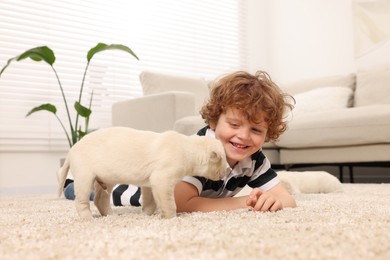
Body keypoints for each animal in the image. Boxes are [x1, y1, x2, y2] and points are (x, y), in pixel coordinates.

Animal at [58, 127, 229, 220]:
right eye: (223, 159)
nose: (228, 169)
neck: (188, 148)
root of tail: (71, 150)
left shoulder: (149, 184)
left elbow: (150, 201)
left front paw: (147, 214)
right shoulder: (162, 179)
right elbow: (169, 203)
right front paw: (171, 218)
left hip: (106, 180)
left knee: (100, 200)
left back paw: (110, 215)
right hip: (85, 178)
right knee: (81, 202)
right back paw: (88, 218)